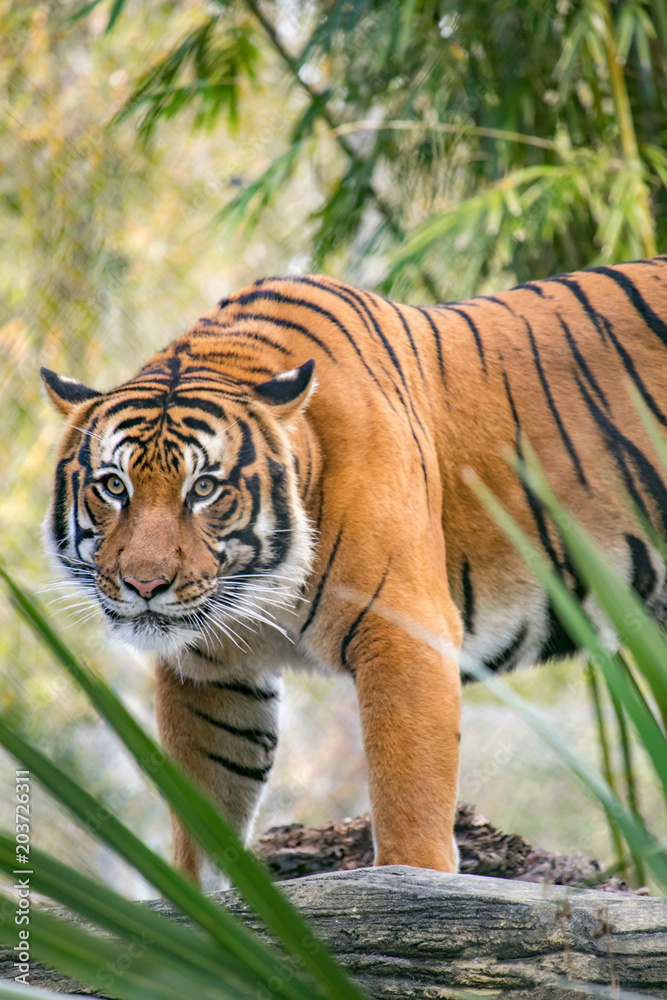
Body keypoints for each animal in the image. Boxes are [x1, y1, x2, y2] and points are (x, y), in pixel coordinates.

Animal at [42, 256, 667, 885]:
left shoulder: (407, 631)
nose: (144, 585)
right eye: (113, 486)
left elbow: (408, 793)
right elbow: (206, 813)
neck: (262, 591)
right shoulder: (209, 670)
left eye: (204, 488)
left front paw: (414, 883)